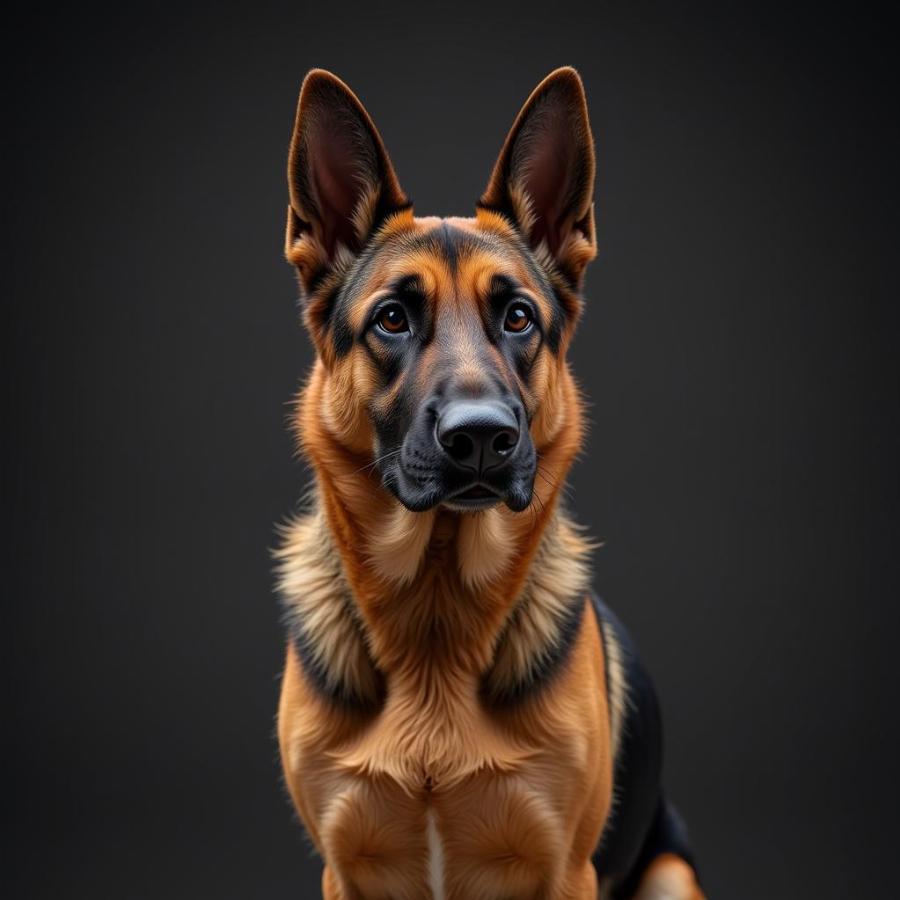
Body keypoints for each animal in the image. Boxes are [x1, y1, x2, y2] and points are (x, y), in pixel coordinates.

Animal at [274, 67, 704, 896]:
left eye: (517, 318)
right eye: (391, 319)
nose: (480, 439)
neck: (435, 626)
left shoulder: (565, 871)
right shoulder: (345, 871)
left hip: (672, 872)